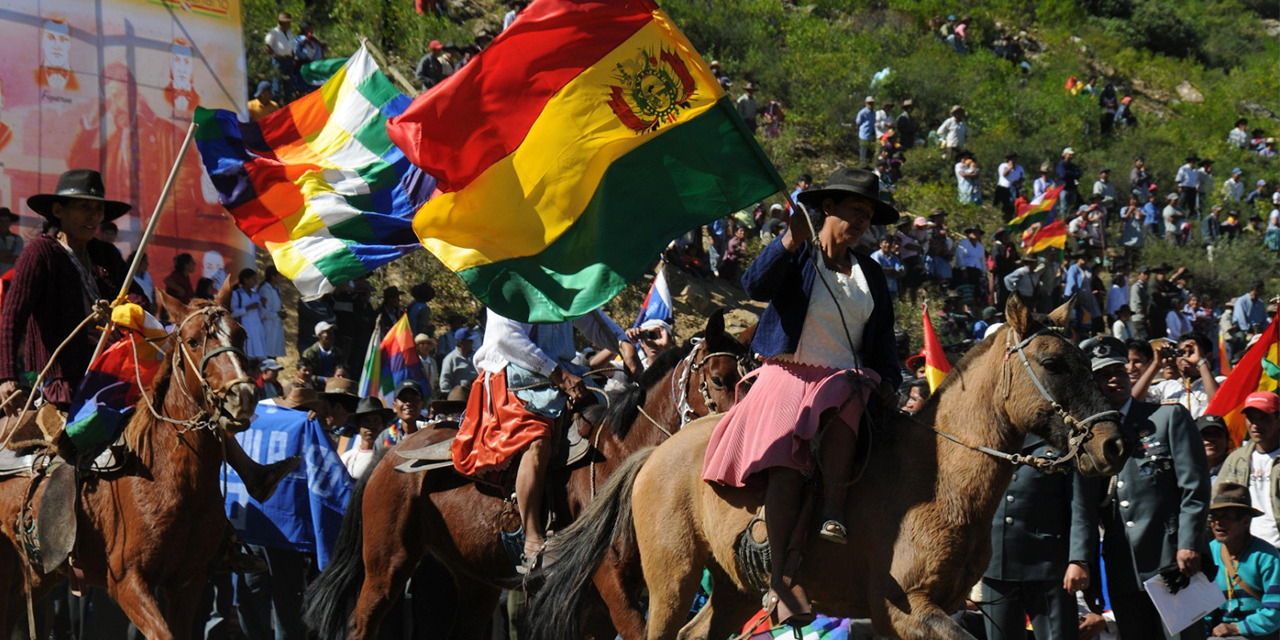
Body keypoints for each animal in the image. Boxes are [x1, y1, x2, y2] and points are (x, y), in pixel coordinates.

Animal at [0, 293, 257, 637]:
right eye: (193, 341)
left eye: (241, 335)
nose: (242, 396)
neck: (169, 478)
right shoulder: (127, 581)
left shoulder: (188, 583)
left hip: (39, 573)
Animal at [303, 309, 752, 640]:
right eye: (717, 379)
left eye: (751, 380)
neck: (620, 458)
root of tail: (390, 453)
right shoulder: (611, 584)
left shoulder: (601, 603)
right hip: (387, 564)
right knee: (362, 623)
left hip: (476, 582)